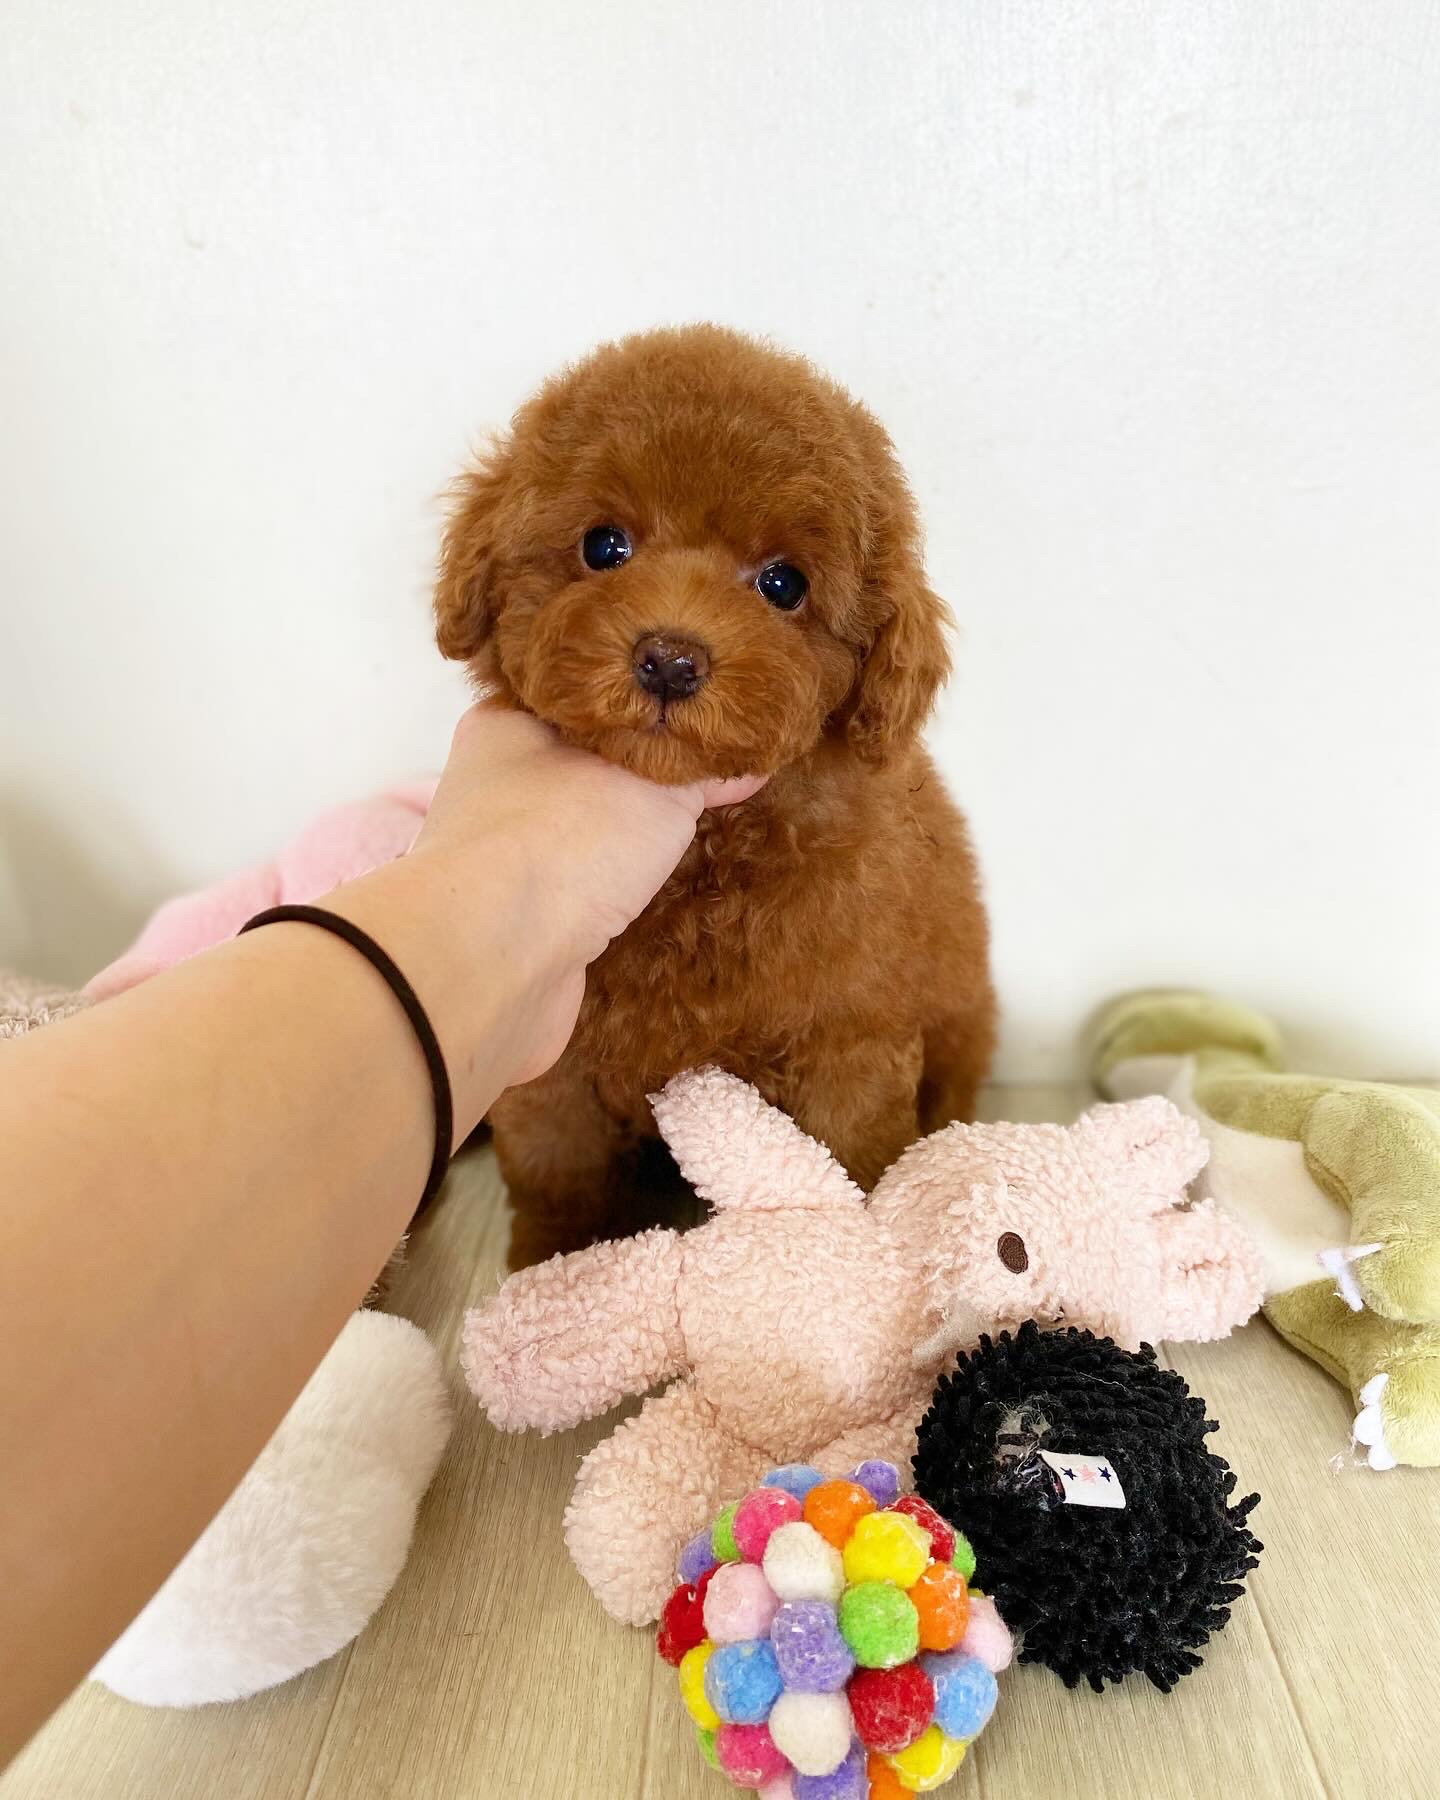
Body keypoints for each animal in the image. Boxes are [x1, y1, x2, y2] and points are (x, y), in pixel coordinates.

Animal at [435, 324, 995, 1268]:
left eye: (783, 584)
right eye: (603, 546)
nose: (669, 659)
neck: (704, 852)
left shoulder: (847, 1035)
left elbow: (848, 1157)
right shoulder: (552, 1054)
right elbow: (555, 1164)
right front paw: (552, 1265)